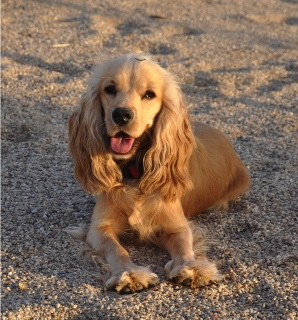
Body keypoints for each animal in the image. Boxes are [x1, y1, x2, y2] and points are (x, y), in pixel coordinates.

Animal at [67, 54, 249, 292]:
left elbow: (182, 245)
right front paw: (130, 274)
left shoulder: (175, 224)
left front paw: (191, 269)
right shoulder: (99, 228)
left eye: (149, 95)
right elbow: (117, 249)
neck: (135, 174)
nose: (121, 115)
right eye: (110, 89)